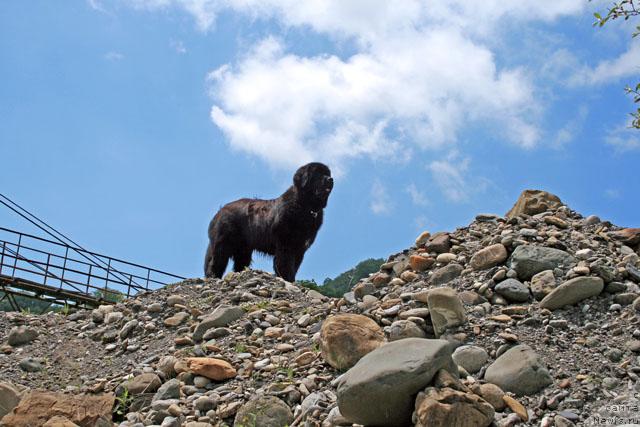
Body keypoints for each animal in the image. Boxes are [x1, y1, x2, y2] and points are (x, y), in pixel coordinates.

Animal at [205, 162, 336, 282]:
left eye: (327, 173)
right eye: (317, 173)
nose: (330, 179)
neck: (305, 206)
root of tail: (220, 211)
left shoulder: (300, 249)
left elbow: (294, 267)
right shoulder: (286, 245)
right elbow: (286, 265)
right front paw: (288, 280)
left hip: (243, 249)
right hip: (224, 244)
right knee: (216, 262)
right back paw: (213, 277)